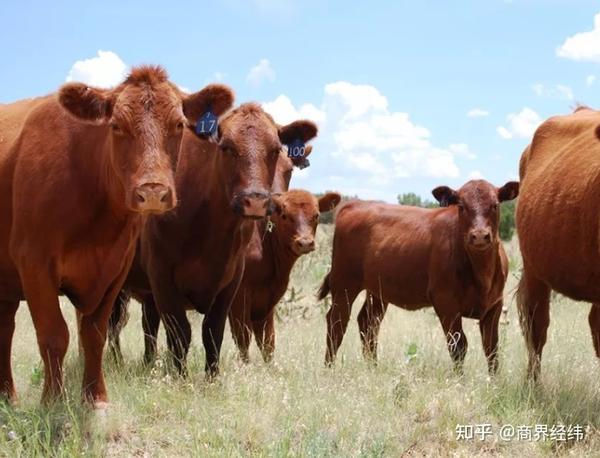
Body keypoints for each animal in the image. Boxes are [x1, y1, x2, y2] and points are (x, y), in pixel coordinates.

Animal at [0, 66, 234, 406]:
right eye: (116, 125)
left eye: (178, 124)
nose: (153, 191)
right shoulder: (34, 263)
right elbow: (54, 334)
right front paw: (53, 400)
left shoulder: (115, 270)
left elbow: (94, 334)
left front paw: (96, 398)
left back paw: (7, 396)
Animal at [229, 189, 342, 362]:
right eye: (284, 215)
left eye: (316, 215)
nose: (305, 243)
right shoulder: (239, 299)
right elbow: (243, 338)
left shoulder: (267, 303)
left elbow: (268, 341)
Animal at [322, 181, 516, 374]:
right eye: (461, 206)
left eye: (495, 205)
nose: (480, 236)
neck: (482, 273)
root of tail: (355, 204)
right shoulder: (445, 302)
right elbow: (458, 346)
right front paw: (460, 379)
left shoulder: (495, 305)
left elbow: (492, 349)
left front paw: (494, 381)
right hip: (343, 284)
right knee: (337, 323)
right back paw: (329, 369)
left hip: (377, 291)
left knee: (368, 323)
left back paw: (373, 368)